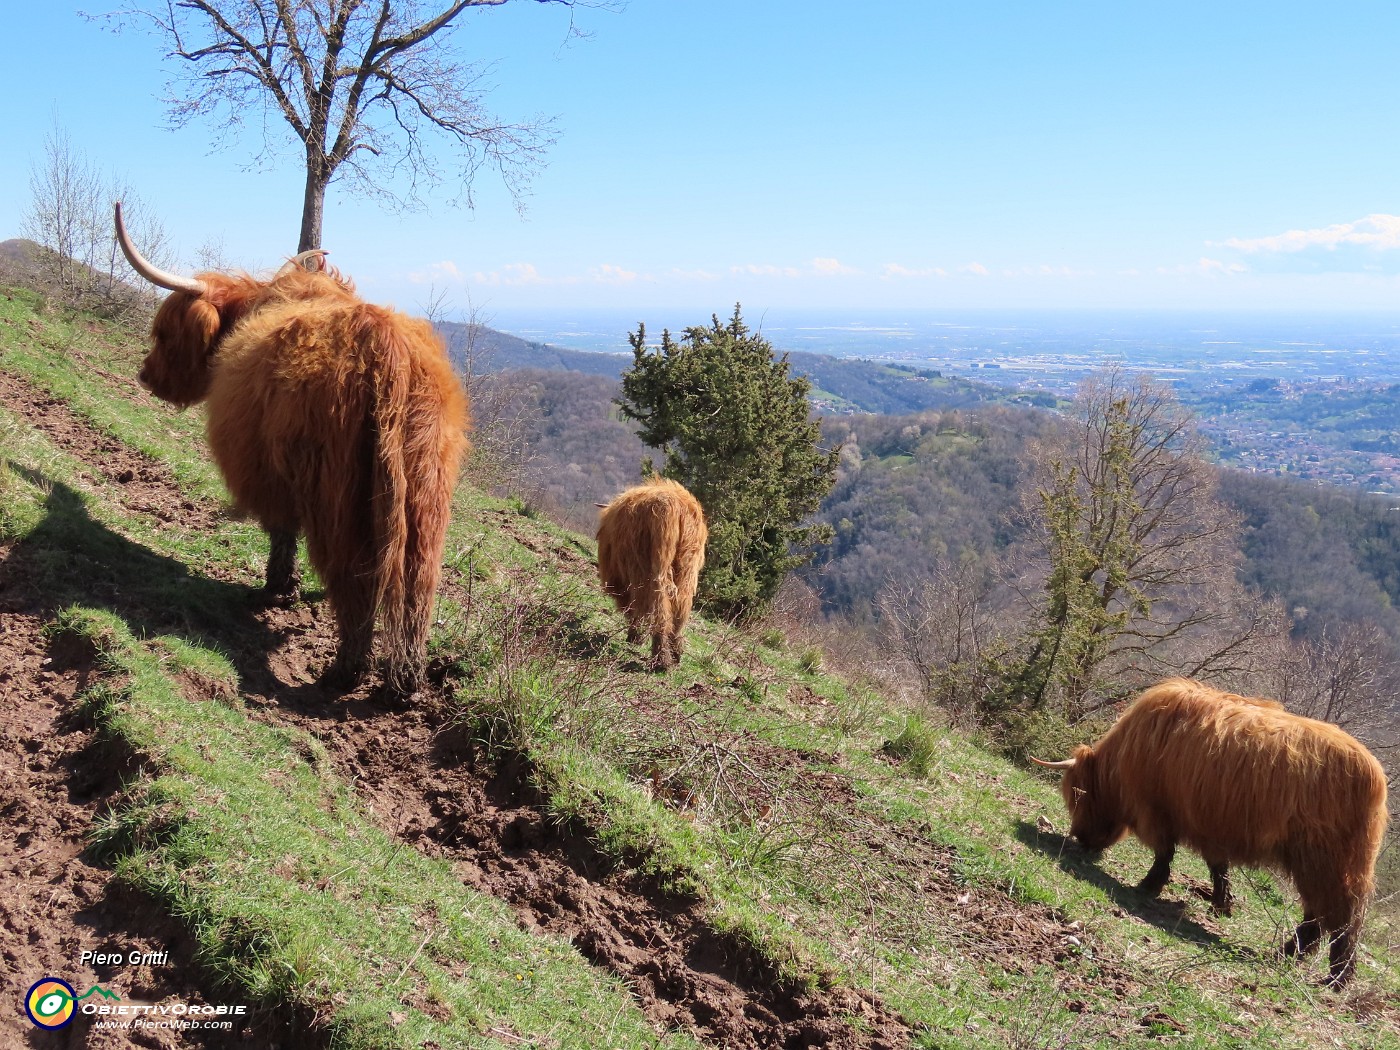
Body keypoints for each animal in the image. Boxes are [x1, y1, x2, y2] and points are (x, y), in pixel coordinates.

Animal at [117, 204, 467, 700]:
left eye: (164, 334)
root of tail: (384, 347)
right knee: (418, 585)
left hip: (336, 498)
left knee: (355, 581)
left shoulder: (269, 473)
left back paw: (344, 673)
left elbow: (280, 531)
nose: (145, 375)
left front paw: (277, 590)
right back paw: (406, 681)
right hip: (426, 492)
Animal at [593, 478, 705, 669]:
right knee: (680, 608)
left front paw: (635, 637)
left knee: (657, 606)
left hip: (646, 569)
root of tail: (674, 506)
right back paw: (676, 653)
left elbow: (636, 609)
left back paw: (661, 659)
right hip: (687, 570)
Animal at [1036, 677, 1383, 991]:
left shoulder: (1156, 810)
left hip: (1324, 861)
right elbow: (1217, 866)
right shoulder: (1209, 826)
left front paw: (1148, 886)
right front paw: (1221, 904)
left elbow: (1164, 852)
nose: (1080, 838)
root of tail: (1373, 775)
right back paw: (1287, 956)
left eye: (1078, 796)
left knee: (1341, 916)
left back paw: (1334, 977)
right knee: (1320, 915)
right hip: (1325, 863)